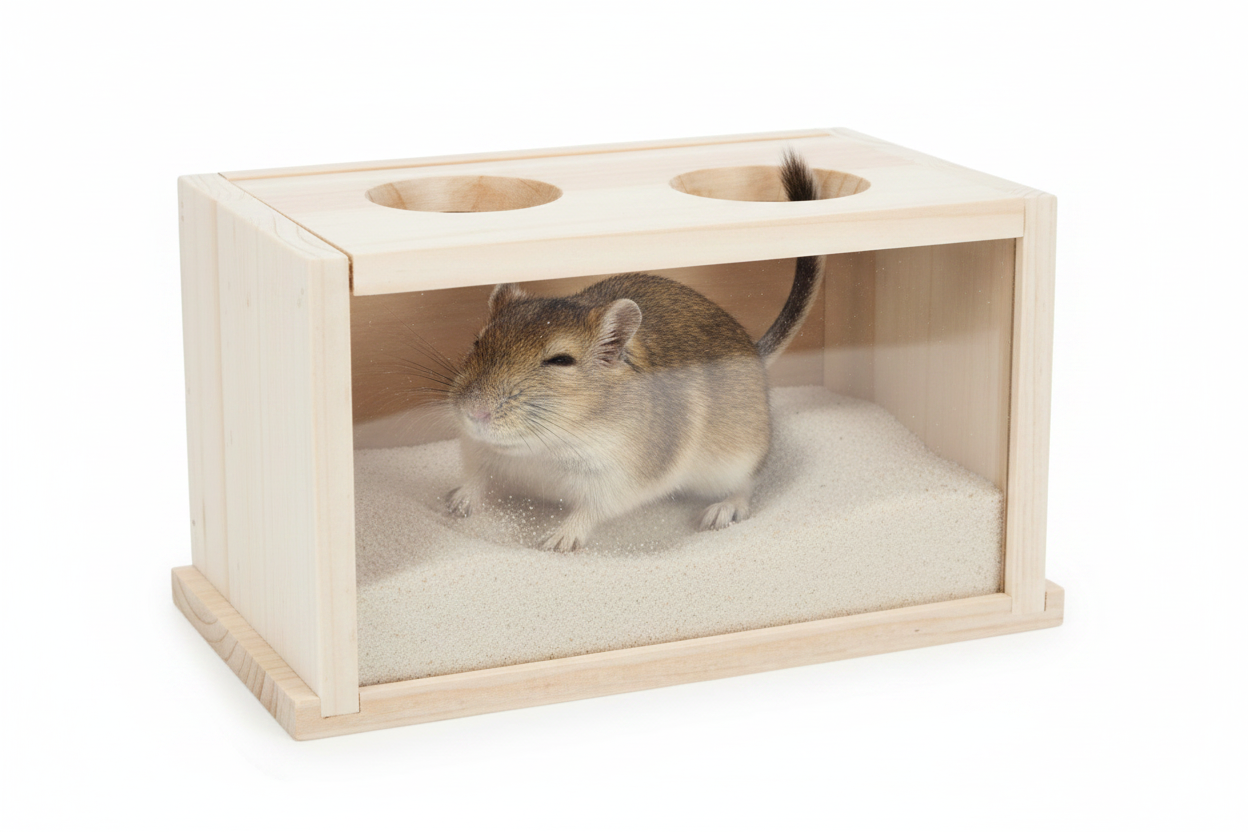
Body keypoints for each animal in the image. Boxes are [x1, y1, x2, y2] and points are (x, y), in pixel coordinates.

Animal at [446, 151, 824, 551]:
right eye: (477, 341)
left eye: (560, 360)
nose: (474, 412)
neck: (544, 446)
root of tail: (755, 351)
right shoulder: (478, 453)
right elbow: (476, 482)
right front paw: (454, 503)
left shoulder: (617, 479)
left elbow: (588, 512)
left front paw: (556, 541)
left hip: (736, 461)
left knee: (745, 488)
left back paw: (718, 513)